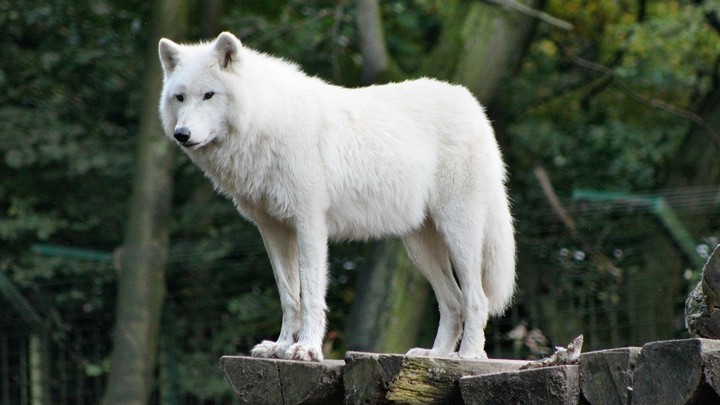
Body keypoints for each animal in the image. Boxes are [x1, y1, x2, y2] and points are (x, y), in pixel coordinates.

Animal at [158, 32, 516, 362]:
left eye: (209, 95)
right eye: (180, 97)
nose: (181, 135)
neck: (266, 122)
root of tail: (472, 104)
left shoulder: (310, 224)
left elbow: (311, 293)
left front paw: (306, 349)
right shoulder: (272, 230)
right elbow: (289, 296)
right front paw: (281, 347)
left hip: (458, 234)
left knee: (477, 298)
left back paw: (469, 356)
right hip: (419, 246)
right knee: (453, 302)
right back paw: (435, 356)